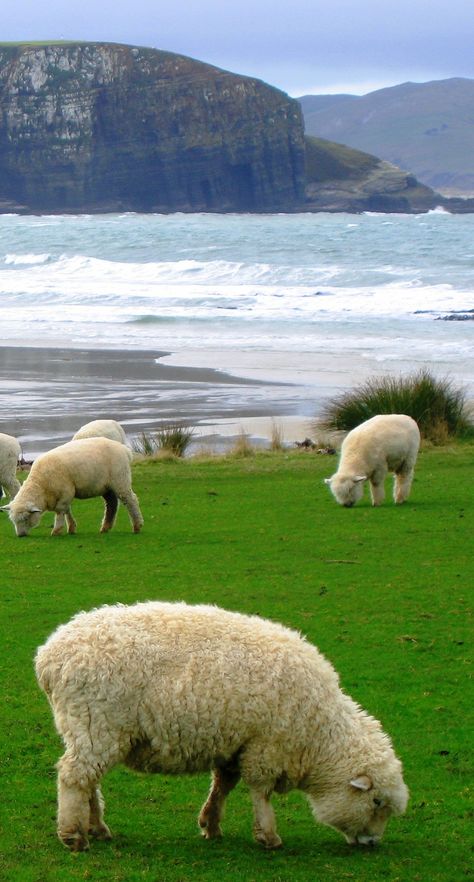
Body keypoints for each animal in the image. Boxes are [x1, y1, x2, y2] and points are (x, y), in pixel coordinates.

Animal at [0, 434, 143, 532]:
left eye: (25, 518)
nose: (21, 535)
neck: (41, 485)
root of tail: (124, 449)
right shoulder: (64, 495)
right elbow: (67, 510)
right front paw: (71, 528)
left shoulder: (65, 492)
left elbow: (60, 511)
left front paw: (57, 530)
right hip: (106, 486)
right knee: (112, 504)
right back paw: (105, 528)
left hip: (120, 479)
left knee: (130, 500)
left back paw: (137, 525)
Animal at [35, 600, 410, 852]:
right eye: (376, 802)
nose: (371, 842)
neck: (319, 732)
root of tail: (49, 656)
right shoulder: (266, 745)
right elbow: (260, 791)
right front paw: (268, 835)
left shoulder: (235, 744)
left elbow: (223, 785)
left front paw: (210, 824)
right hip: (95, 723)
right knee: (74, 777)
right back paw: (73, 835)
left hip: (94, 731)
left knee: (88, 779)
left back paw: (96, 827)